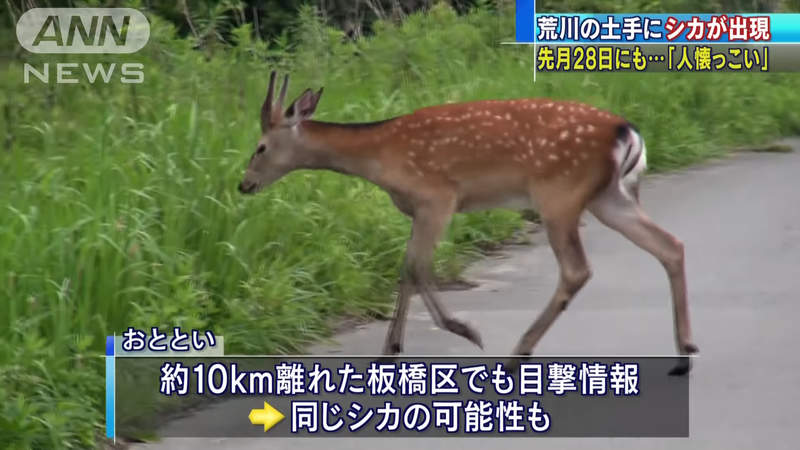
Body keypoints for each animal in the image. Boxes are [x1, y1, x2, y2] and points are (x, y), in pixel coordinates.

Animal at [238, 72, 699, 375]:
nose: (244, 184)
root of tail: (627, 131)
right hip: (609, 197)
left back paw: (516, 354)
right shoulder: (418, 208)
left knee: (577, 270)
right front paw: (389, 351)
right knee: (670, 245)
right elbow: (405, 271)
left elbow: (418, 268)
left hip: (560, 194)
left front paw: (464, 329)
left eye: (260, 147)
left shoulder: (438, 197)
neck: (381, 158)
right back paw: (683, 353)